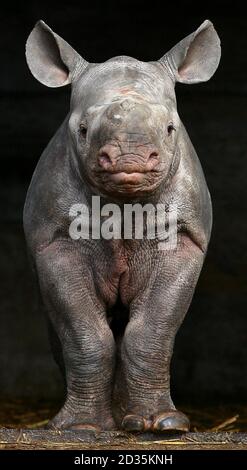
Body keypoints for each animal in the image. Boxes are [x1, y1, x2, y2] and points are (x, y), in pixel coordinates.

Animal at [24, 21, 221, 434]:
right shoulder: (56, 240)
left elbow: (153, 327)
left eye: (170, 128)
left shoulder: (182, 236)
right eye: (83, 130)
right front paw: (80, 428)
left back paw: (131, 421)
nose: (130, 159)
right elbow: (83, 331)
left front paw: (164, 424)